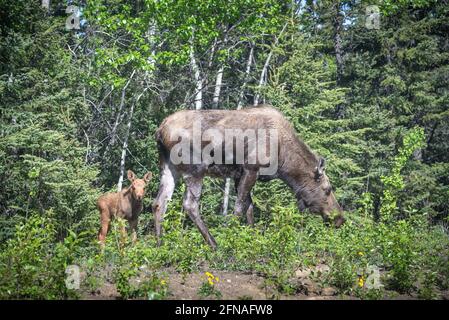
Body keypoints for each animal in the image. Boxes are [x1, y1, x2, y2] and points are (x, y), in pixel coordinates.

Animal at [152, 106, 344, 249]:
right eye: (327, 189)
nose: (340, 218)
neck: (284, 160)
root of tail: (160, 131)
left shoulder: (240, 175)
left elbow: (249, 207)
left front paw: (252, 239)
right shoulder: (251, 169)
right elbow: (238, 208)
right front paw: (231, 239)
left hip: (168, 167)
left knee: (159, 203)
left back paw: (160, 244)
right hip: (196, 169)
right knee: (190, 205)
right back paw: (214, 245)